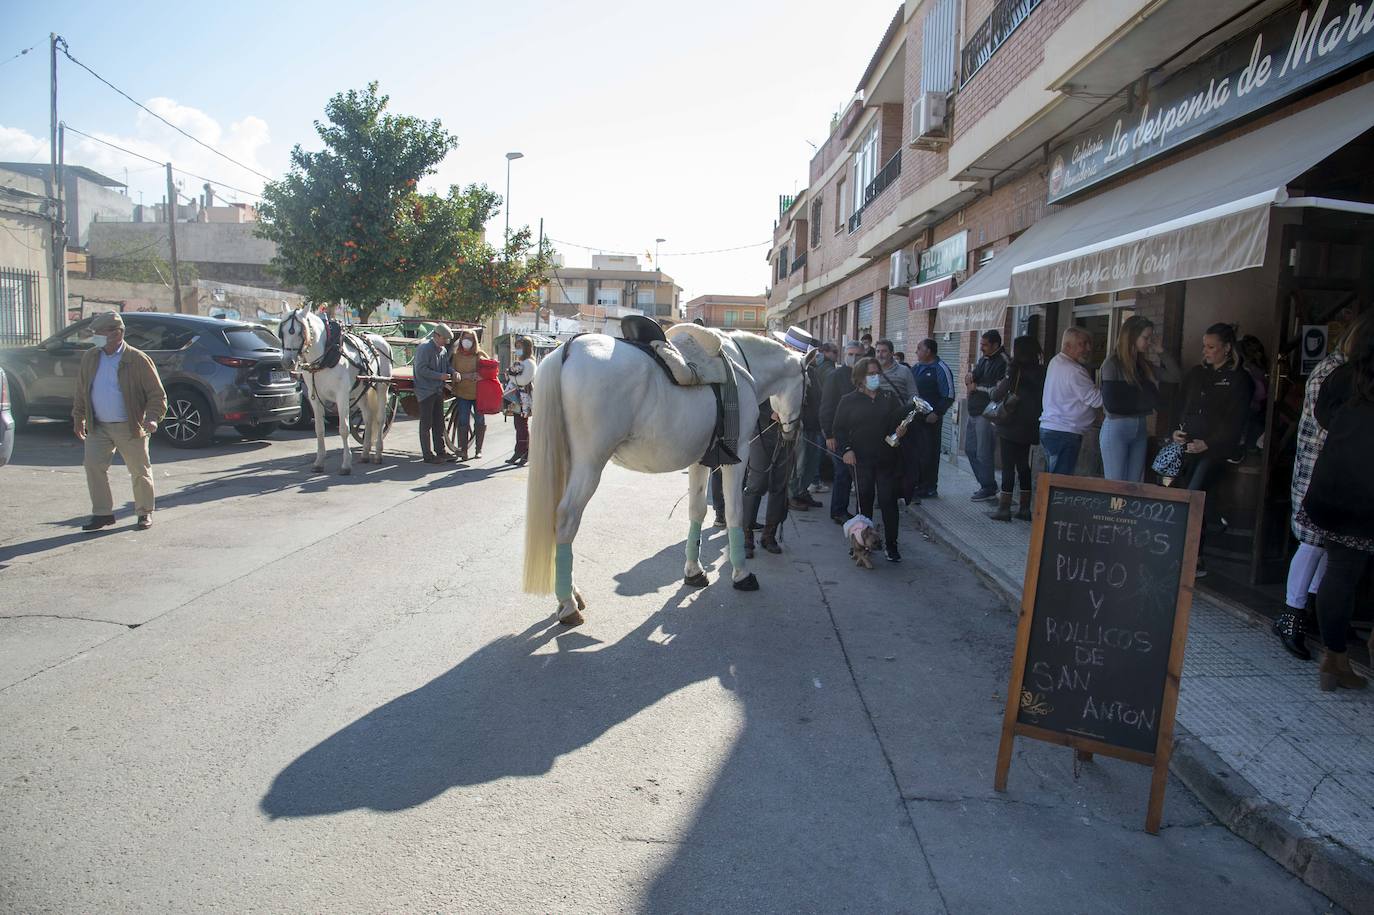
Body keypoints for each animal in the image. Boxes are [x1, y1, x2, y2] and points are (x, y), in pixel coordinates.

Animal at [274, 310, 392, 472]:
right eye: (282, 332)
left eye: (301, 332)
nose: (287, 362)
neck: (325, 357)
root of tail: (382, 340)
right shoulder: (315, 397)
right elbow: (319, 429)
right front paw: (319, 462)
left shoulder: (342, 396)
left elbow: (344, 428)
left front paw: (346, 464)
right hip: (361, 390)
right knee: (368, 417)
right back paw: (365, 453)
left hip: (382, 386)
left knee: (380, 418)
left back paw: (378, 454)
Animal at [522, 331, 802, 623]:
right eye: (808, 382)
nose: (791, 433)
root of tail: (570, 347)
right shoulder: (738, 456)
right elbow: (735, 512)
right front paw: (741, 574)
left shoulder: (701, 460)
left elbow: (697, 511)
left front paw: (694, 572)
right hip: (589, 465)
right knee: (567, 519)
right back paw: (568, 604)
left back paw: (573, 594)